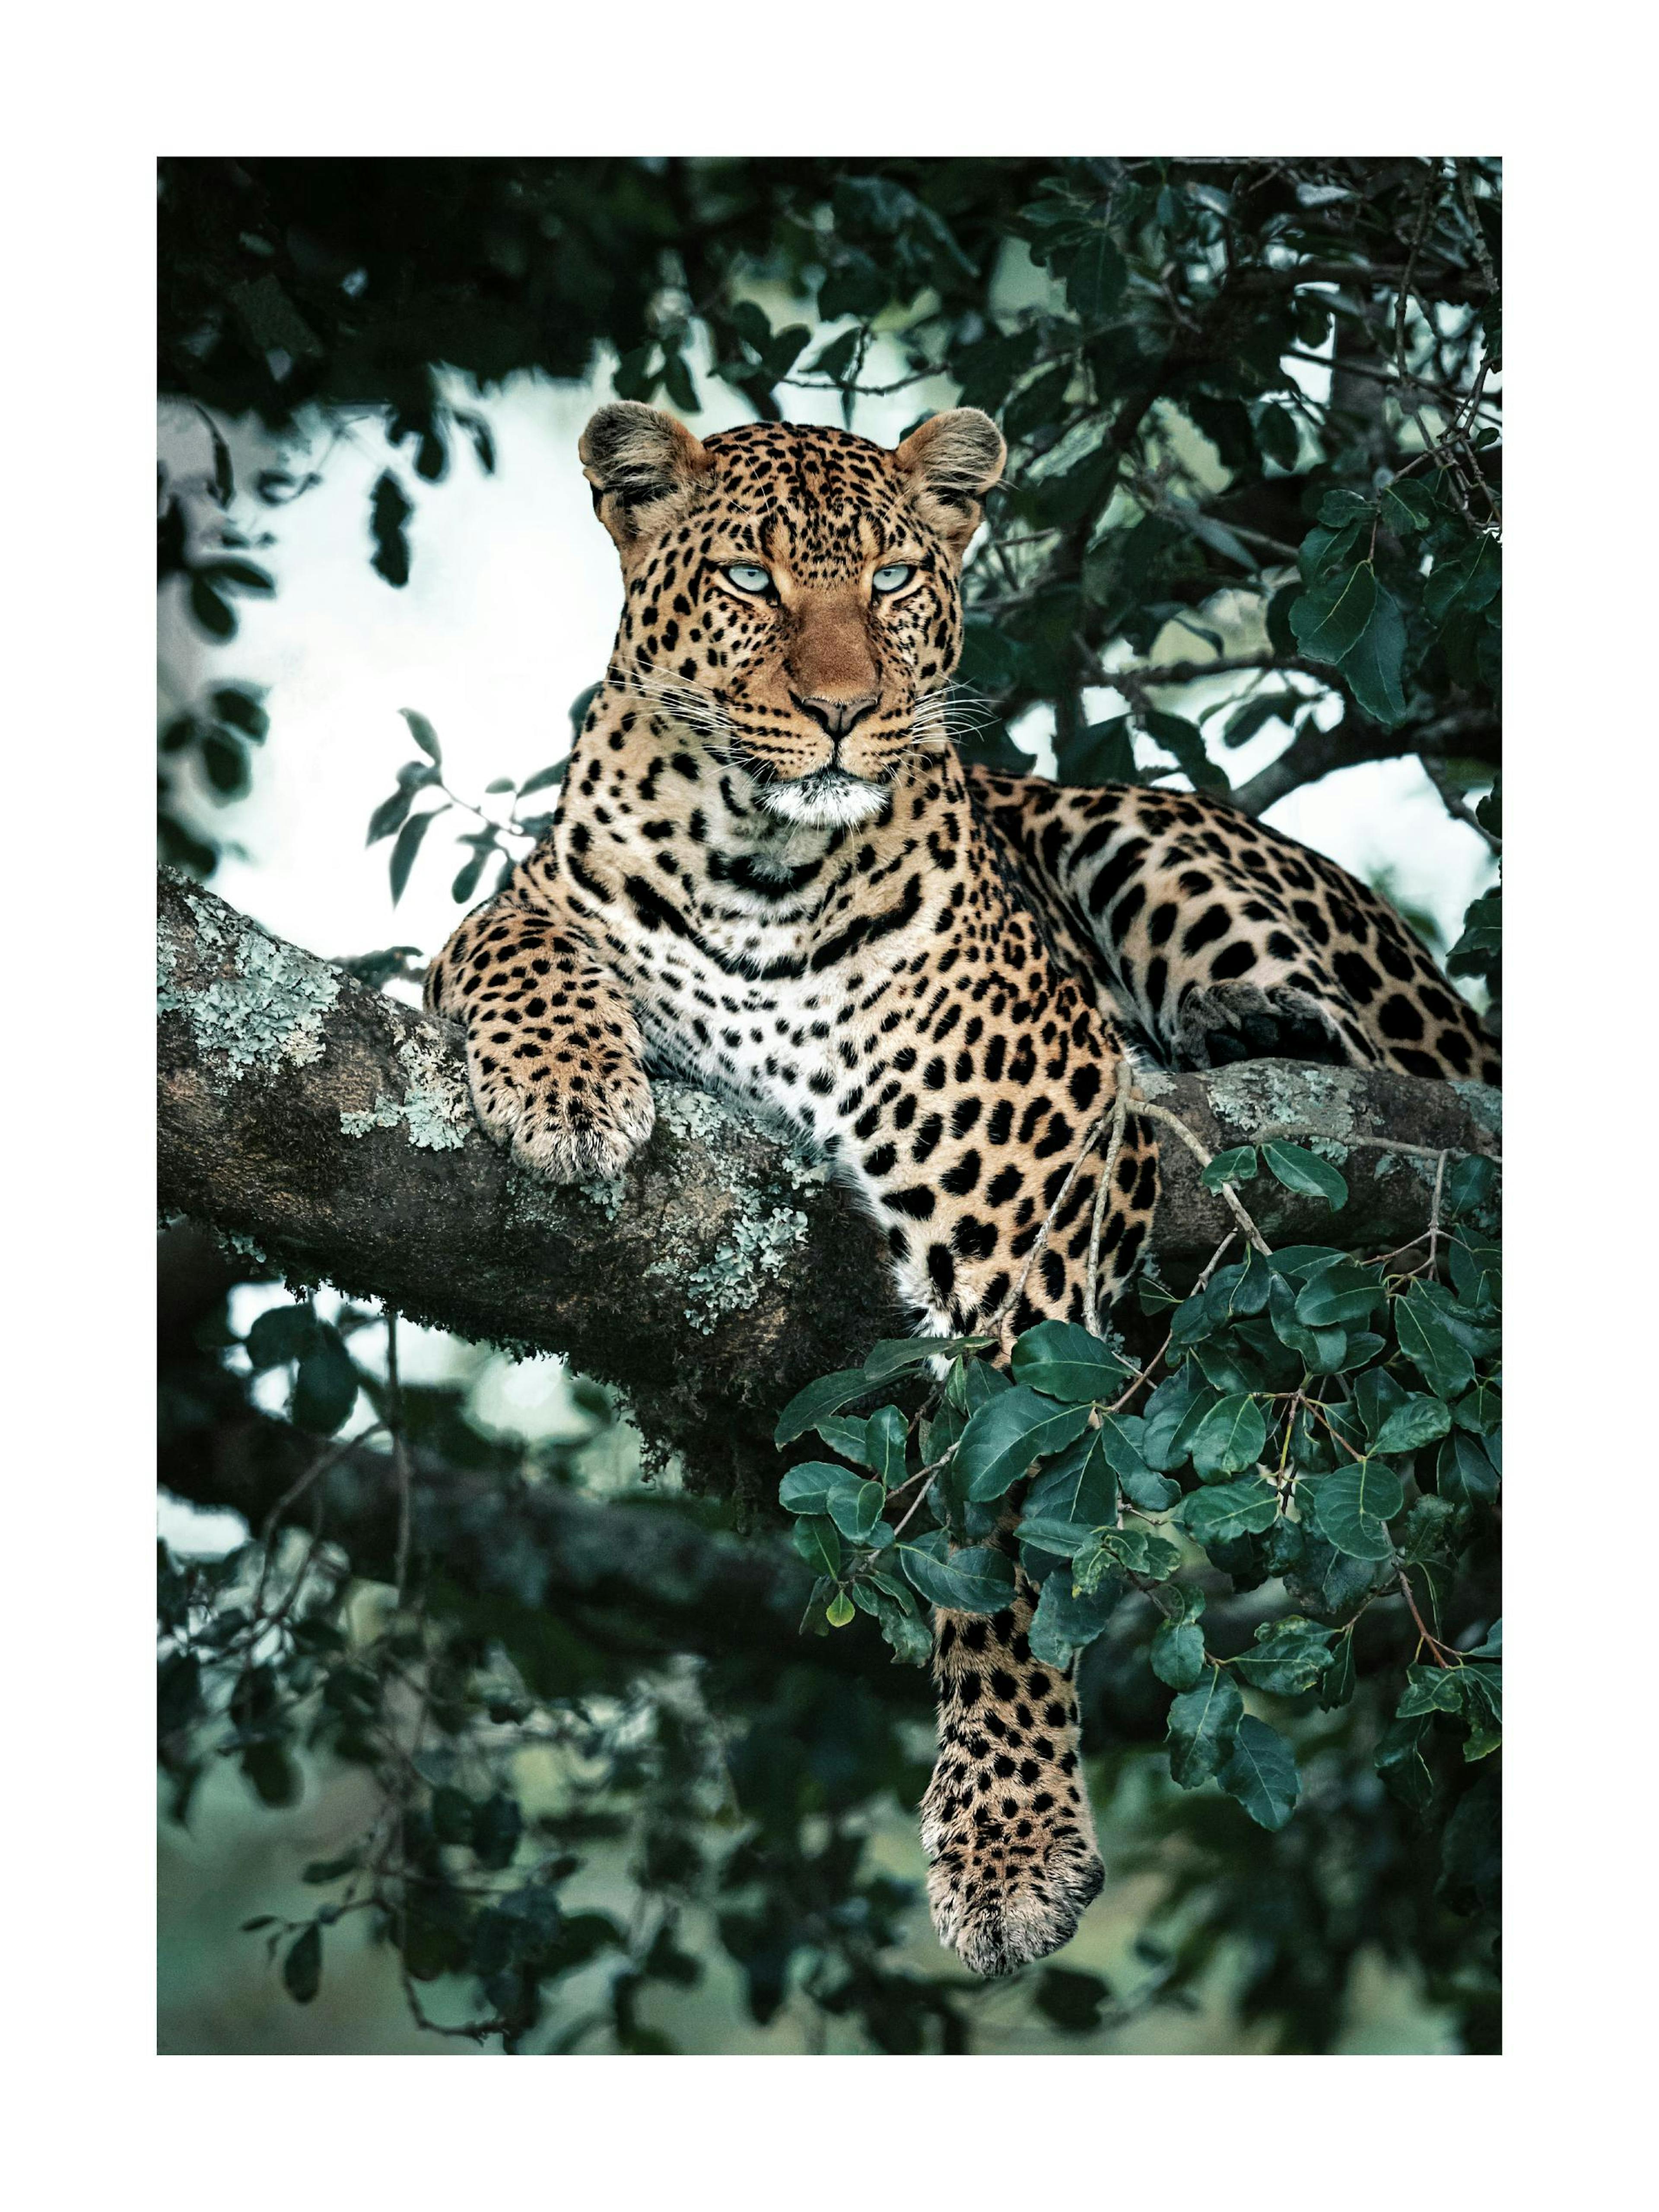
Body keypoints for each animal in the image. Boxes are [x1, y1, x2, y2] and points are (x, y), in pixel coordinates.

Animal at [425, 401, 1500, 1981]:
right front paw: (567, 1091)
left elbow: (999, 1540)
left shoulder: (1023, 1200)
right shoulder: (523, 910)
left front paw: (1011, 1843)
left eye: (889, 582)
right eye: (748, 579)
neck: (760, 866)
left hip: (1152, 848)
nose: (839, 710)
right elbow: (517, 939)